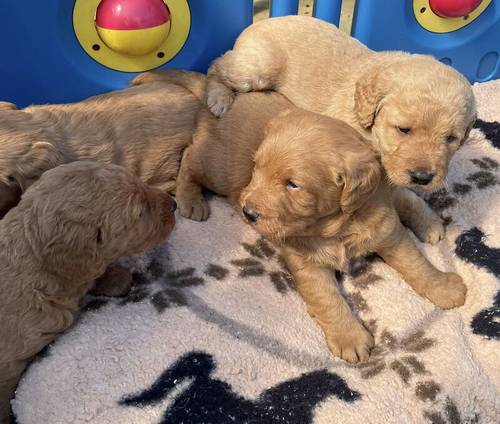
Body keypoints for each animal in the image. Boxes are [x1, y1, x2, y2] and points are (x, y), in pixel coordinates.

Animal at [174, 85, 466, 362]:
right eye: (256, 168)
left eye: (293, 185)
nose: (249, 212)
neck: (337, 225)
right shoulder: (308, 263)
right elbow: (327, 299)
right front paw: (349, 337)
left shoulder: (388, 232)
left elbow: (415, 263)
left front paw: (443, 287)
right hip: (216, 168)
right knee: (188, 158)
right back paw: (190, 200)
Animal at [206, 15, 476, 245]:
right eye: (404, 129)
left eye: (451, 138)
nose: (422, 177)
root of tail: (258, 23)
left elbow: (408, 195)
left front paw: (428, 220)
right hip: (258, 68)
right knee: (217, 64)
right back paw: (218, 98)